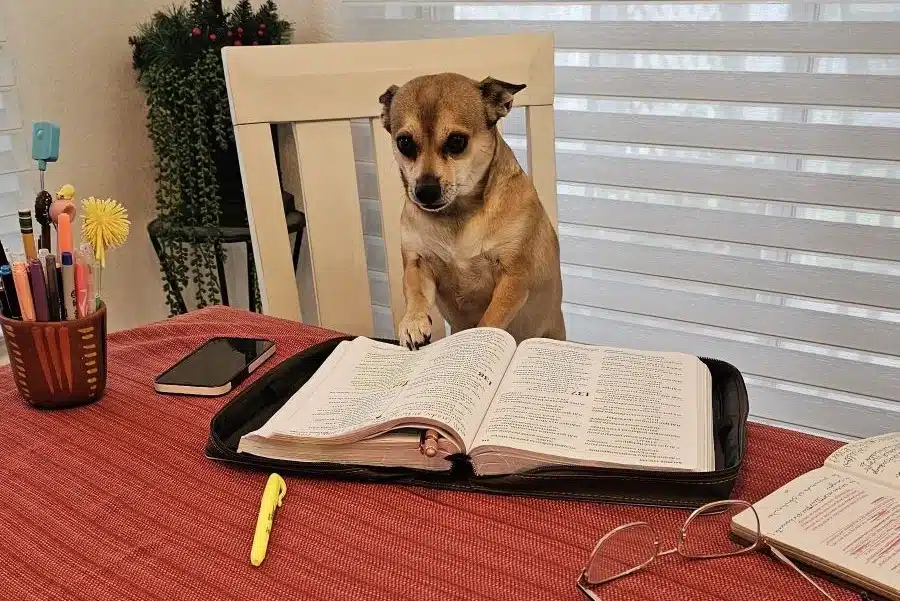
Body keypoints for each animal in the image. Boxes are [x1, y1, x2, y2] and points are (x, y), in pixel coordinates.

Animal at [378, 72, 564, 350]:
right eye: (405, 143)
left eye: (457, 141)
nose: (425, 190)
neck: (458, 213)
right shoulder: (418, 264)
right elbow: (416, 294)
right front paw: (412, 322)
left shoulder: (513, 277)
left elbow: (491, 319)